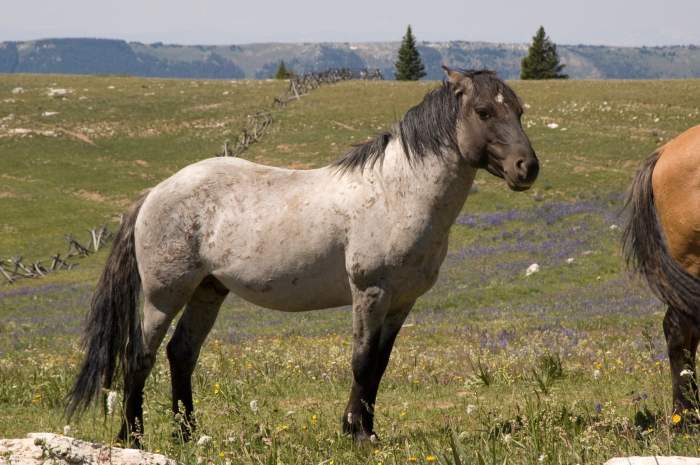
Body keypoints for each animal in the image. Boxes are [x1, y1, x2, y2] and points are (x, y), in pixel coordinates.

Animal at [65, 68, 540, 442]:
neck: (397, 193)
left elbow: (379, 365)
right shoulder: (370, 293)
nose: (527, 168)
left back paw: (189, 435)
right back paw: (133, 437)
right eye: (484, 111)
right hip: (164, 295)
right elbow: (362, 361)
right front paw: (357, 434)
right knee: (140, 358)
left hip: (208, 290)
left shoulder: (401, 302)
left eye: (519, 110)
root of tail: (154, 193)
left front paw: (366, 430)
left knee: (181, 354)